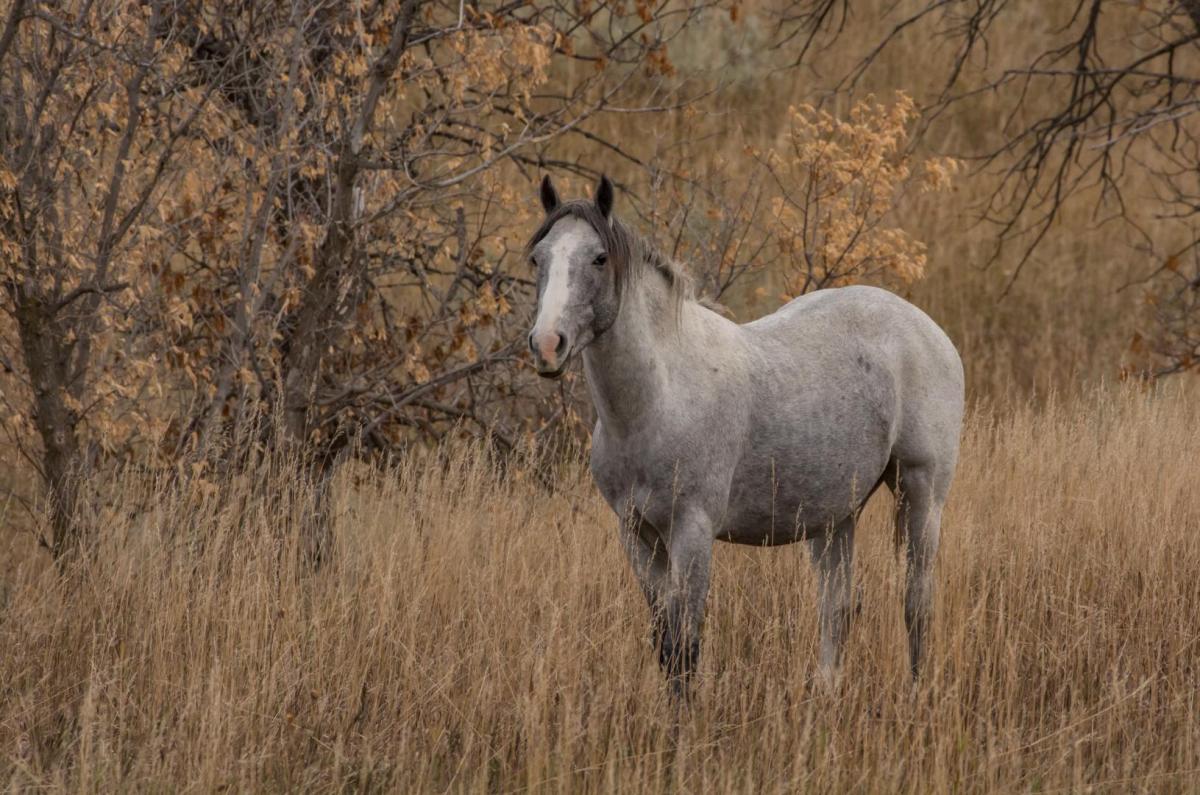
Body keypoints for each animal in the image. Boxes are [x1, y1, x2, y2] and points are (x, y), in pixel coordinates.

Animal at [526, 174, 964, 693]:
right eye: (538, 259)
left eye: (598, 258)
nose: (547, 345)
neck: (660, 398)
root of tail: (931, 331)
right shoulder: (636, 535)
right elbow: (663, 644)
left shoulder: (692, 533)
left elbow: (685, 647)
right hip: (835, 516)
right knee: (838, 606)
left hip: (921, 492)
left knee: (916, 602)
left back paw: (916, 693)